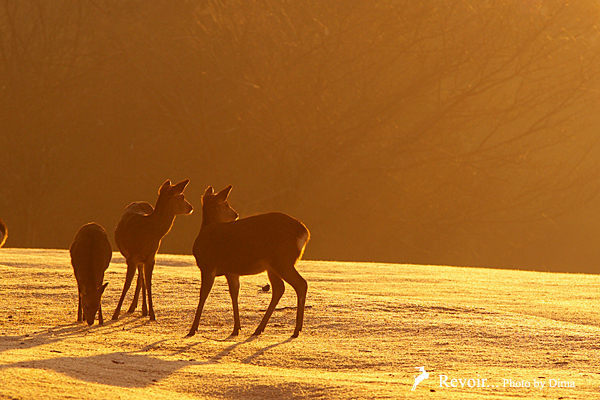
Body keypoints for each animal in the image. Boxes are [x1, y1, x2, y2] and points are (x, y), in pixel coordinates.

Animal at [113, 180, 195, 320]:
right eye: (181, 196)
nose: (190, 207)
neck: (148, 232)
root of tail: (139, 201)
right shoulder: (131, 257)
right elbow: (127, 284)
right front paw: (115, 313)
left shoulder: (151, 257)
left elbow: (149, 283)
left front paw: (152, 314)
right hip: (138, 259)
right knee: (140, 279)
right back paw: (134, 307)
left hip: (143, 260)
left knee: (141, 280)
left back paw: (142, 309)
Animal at [186, 186, 310, 340]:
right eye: (226, 205)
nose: (236, 214)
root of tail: (305, 233)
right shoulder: (231, 272)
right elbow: (234, 294)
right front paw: (236, 329)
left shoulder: (207, 266)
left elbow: (203, 295)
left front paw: (192, 329)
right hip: (273, 265)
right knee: (279, 288)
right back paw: (259, 329)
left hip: (282, 260)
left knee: (301, 284)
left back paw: (296, 330)